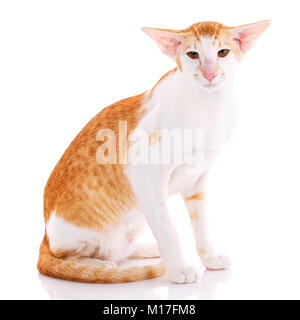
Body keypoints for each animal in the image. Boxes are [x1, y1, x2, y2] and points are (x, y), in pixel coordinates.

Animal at [37, 20, 270, 282]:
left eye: (223, 52)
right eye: (193, 54)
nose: (210, 74)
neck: (208, 106)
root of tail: (44, 235)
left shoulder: (197, 180)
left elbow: (202, 226)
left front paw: (209, 257)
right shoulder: (144, 175)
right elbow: (168, 229)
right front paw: (178, 269)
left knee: (121, 249)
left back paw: (145, 249)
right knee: (67, 256)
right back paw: (100, 265)